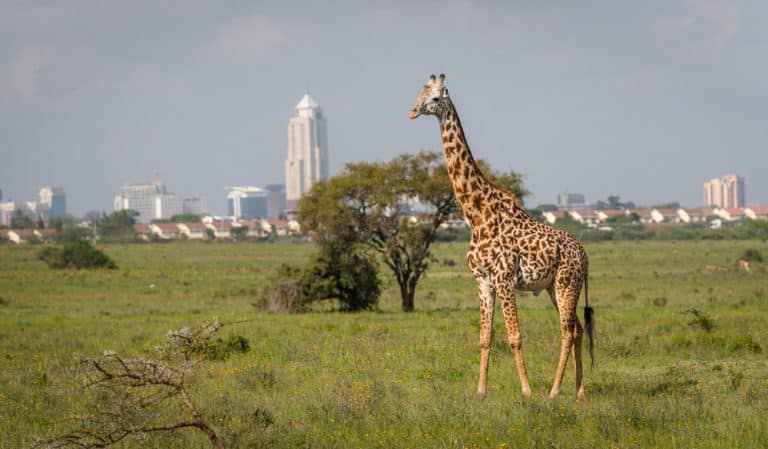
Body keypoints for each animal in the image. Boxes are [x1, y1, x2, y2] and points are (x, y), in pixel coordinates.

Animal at [408, 74, 592, 400]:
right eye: (420, 93)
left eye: (434, 98)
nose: (413, 111)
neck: (477, 215)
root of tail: (584, 254)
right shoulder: (483, 281)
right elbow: (485, 336)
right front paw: (481, 391)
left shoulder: (505, 279)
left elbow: (515, 336)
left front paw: (527, 390)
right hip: (553, 287)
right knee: (578, 329)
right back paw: (579, 391)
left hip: (566, 284)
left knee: (567, 332)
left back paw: (554, 391)